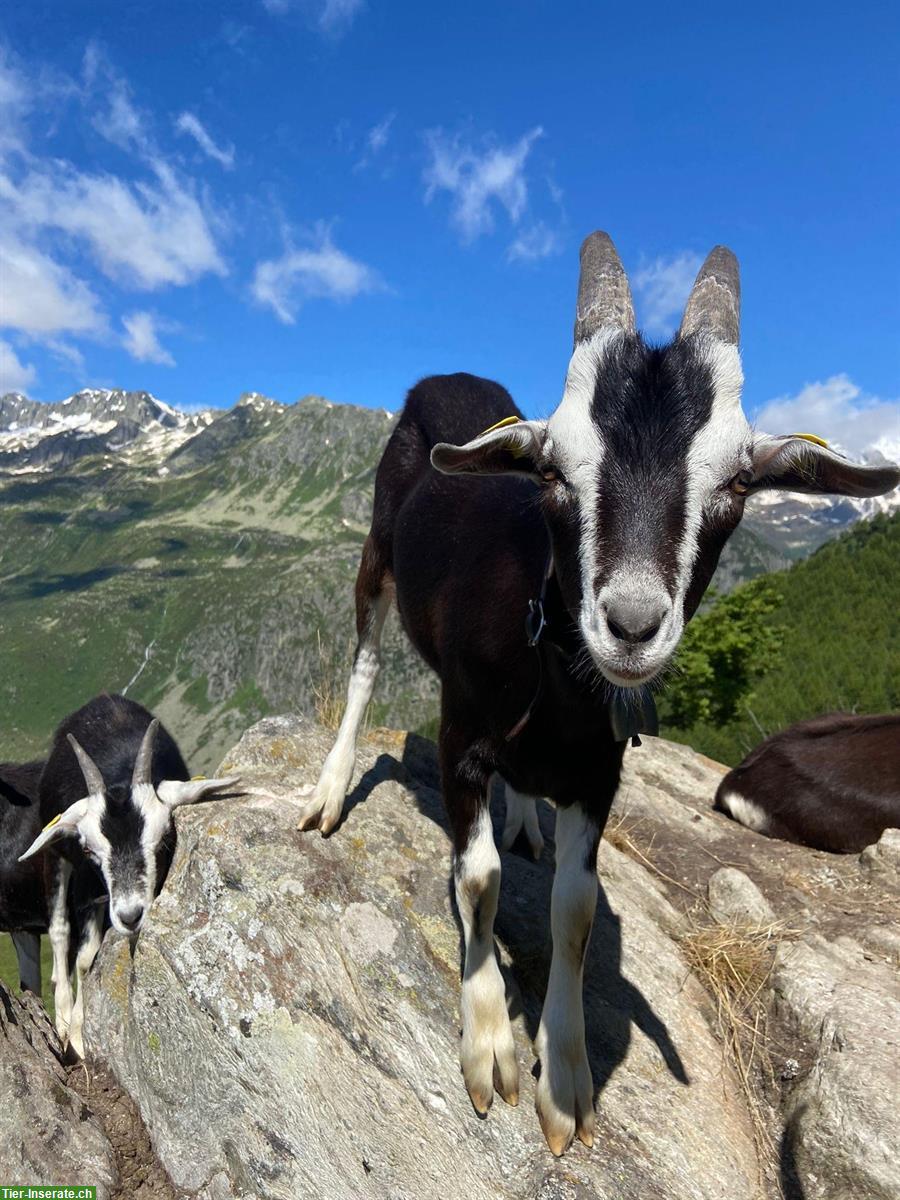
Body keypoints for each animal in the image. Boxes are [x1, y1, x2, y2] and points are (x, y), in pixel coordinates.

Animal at [1, 696, 234, 1060]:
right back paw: (62, 1018)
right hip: (56, 861)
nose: (129, 915)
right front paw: (75, 1037)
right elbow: (80, 954)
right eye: (90, 850)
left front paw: (80, 1032)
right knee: (59, 933)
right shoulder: (78, 878)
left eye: (164, 841)